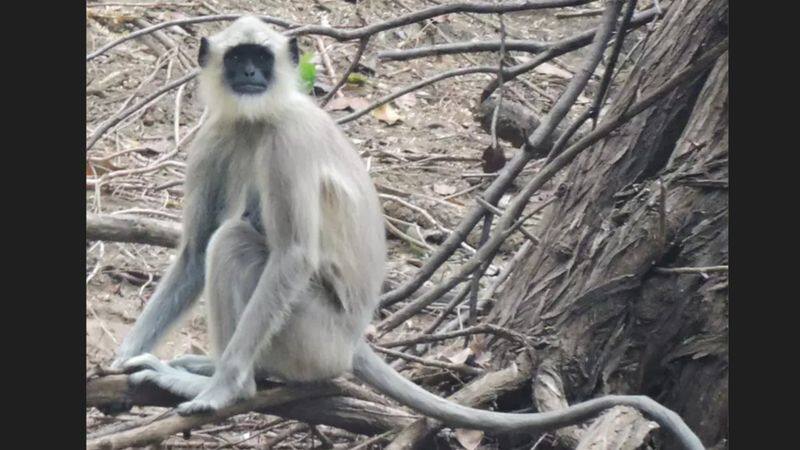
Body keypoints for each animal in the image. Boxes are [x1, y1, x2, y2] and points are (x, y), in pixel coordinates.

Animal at [108, 15, 708, 448]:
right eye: (238, 60)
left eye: (261, 59)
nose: (252, 77)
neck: (257, 118)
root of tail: (353, 341)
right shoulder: (215, 133)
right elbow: (191, 252)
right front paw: (118, 362)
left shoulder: (289, 138)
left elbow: (293, 255)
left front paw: (221, 391)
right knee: (223, 242)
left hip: (314, 336)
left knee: (235, 244)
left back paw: (235, 380)